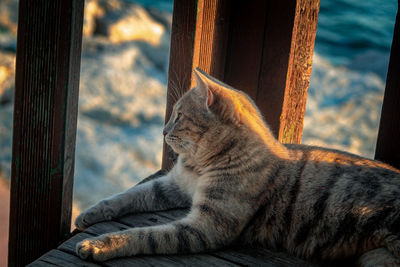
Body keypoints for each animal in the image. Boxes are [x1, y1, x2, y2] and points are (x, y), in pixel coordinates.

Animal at [75, 68, 400, 266]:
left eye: (179, 116)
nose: (163, 131)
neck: (200, 166)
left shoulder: (204, 227)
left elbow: (144, 236)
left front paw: (99, 245)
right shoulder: (172, 186)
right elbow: (125, 197)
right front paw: (89, 214)